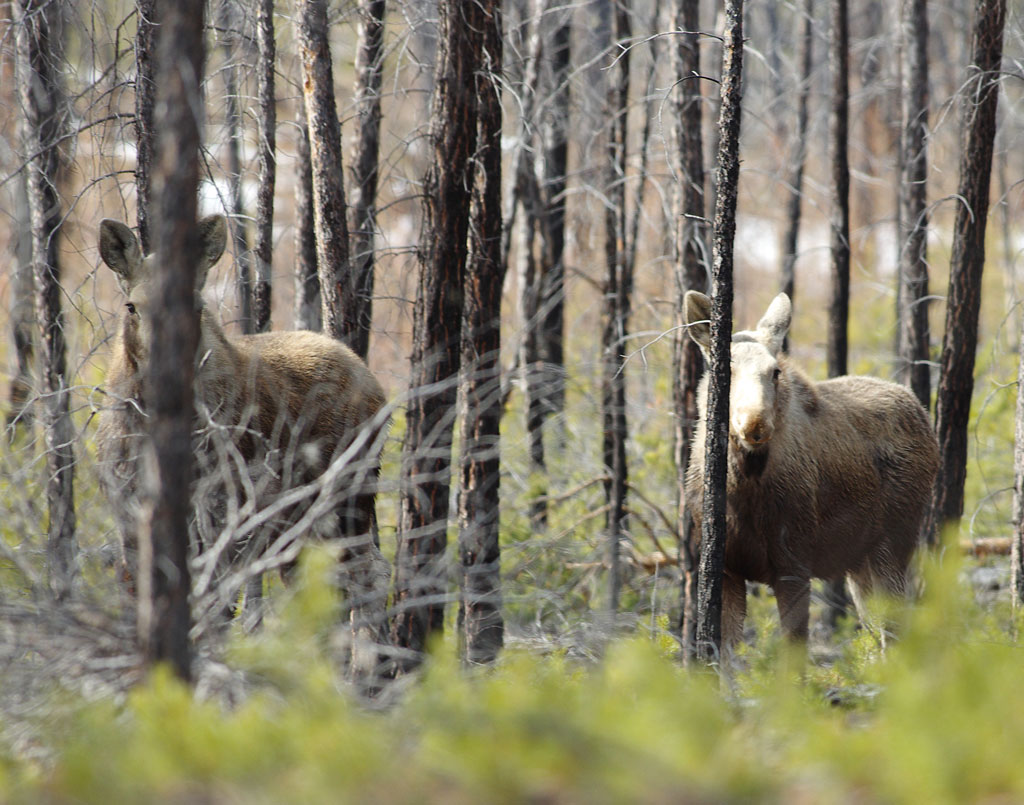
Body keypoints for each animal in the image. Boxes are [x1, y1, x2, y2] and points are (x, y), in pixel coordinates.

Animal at [96, 212, 391, 663]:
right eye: (132, 306)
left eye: (197, 307)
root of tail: (376, 387)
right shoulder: (128, 518)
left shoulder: (218, 519)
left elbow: (214, 612)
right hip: (299, 524)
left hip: (347, 500)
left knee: (367, 577)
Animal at [684, 290, 937, 651]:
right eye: (726, 370)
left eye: (775, 371)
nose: (755, 424)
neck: (745, 487)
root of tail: (923, 414)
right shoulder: (727, 570)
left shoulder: (794, 566)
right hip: (859, 561)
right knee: (876, 630)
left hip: (893, 544)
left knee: (895, 630)